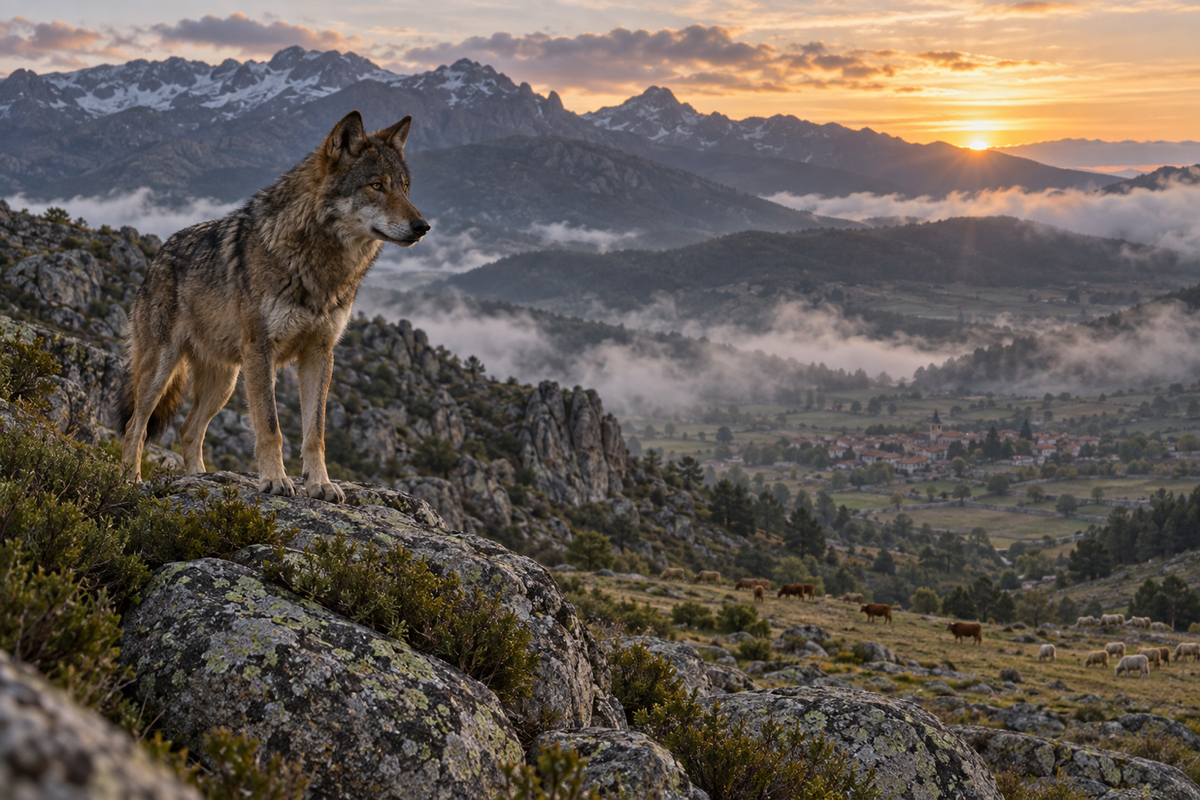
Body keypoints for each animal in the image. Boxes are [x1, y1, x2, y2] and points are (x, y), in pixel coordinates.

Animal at [117, 110, 428, 503]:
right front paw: (275, 481)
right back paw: (130, 480)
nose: (423, 226)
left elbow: (315, 433)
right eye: (376, 186)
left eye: (405, 187)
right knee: (136, 425)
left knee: (189, 429)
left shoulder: (319, 353)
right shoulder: (261, 350)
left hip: (226, 382)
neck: (319, 265)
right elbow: (270, 427)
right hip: (163, 370)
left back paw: (199, 479)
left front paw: (320, 484)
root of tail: (159, 253)